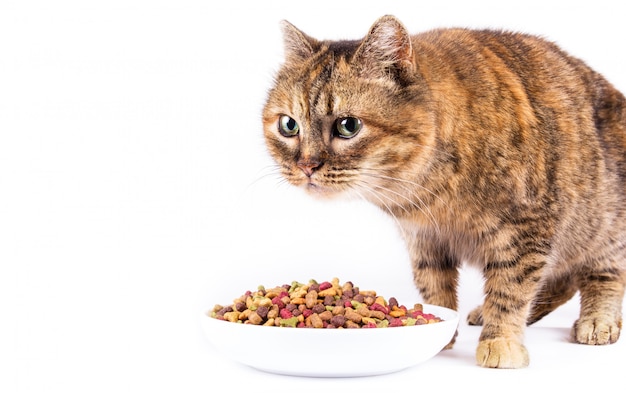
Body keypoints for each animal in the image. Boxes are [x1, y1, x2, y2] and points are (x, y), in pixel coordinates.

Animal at [260, 13, 624, 366]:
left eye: (348, 126)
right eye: (289, 125)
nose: (306, 165)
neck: (430, 191)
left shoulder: (527, 230)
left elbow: (510, 291)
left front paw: (501, 339)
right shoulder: (423, 239)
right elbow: (435, 288)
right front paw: (442, 333)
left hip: (604, 228)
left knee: (602, 277)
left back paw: (598, 320)